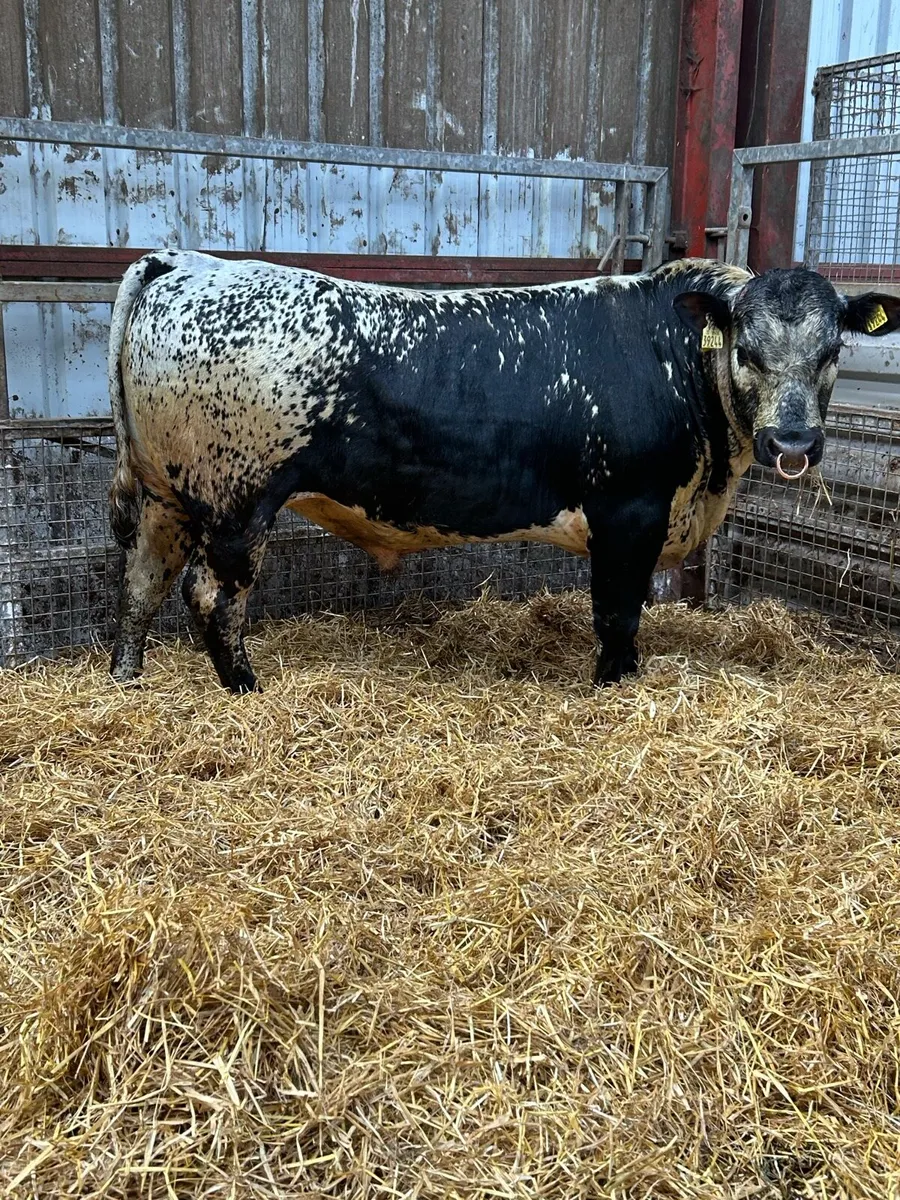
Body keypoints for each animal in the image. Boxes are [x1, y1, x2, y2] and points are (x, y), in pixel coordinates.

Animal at [106, 250, 900, 693]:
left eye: (833, 350)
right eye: (748, 351)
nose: (793, 443)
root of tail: (190, 262)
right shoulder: (630, 513)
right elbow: (618, 613)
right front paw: (615, 686)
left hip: (166, 497)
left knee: (141, 583)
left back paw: (127, 680)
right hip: (236, 502)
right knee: (210, 597)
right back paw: (244, 689)